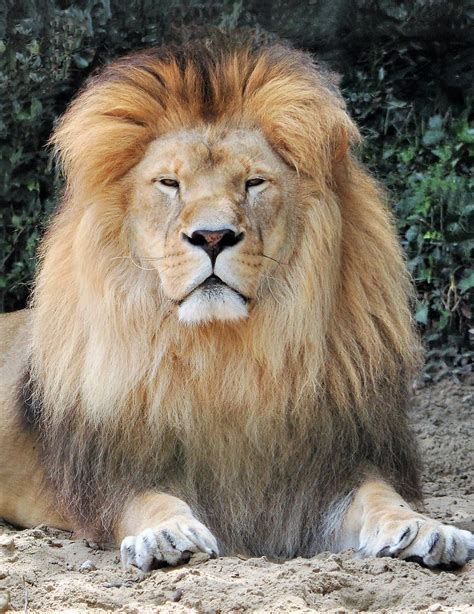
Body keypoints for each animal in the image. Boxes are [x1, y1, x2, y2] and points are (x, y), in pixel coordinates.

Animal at [0, 39, 474, 572]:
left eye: (254, 183)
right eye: (169, 184)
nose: (212, 236)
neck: (226, 356)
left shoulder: (331, 468)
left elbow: (381, 495)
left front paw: (424, 529)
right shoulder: (111, 476)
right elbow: (148, 500)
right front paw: (166, 534)